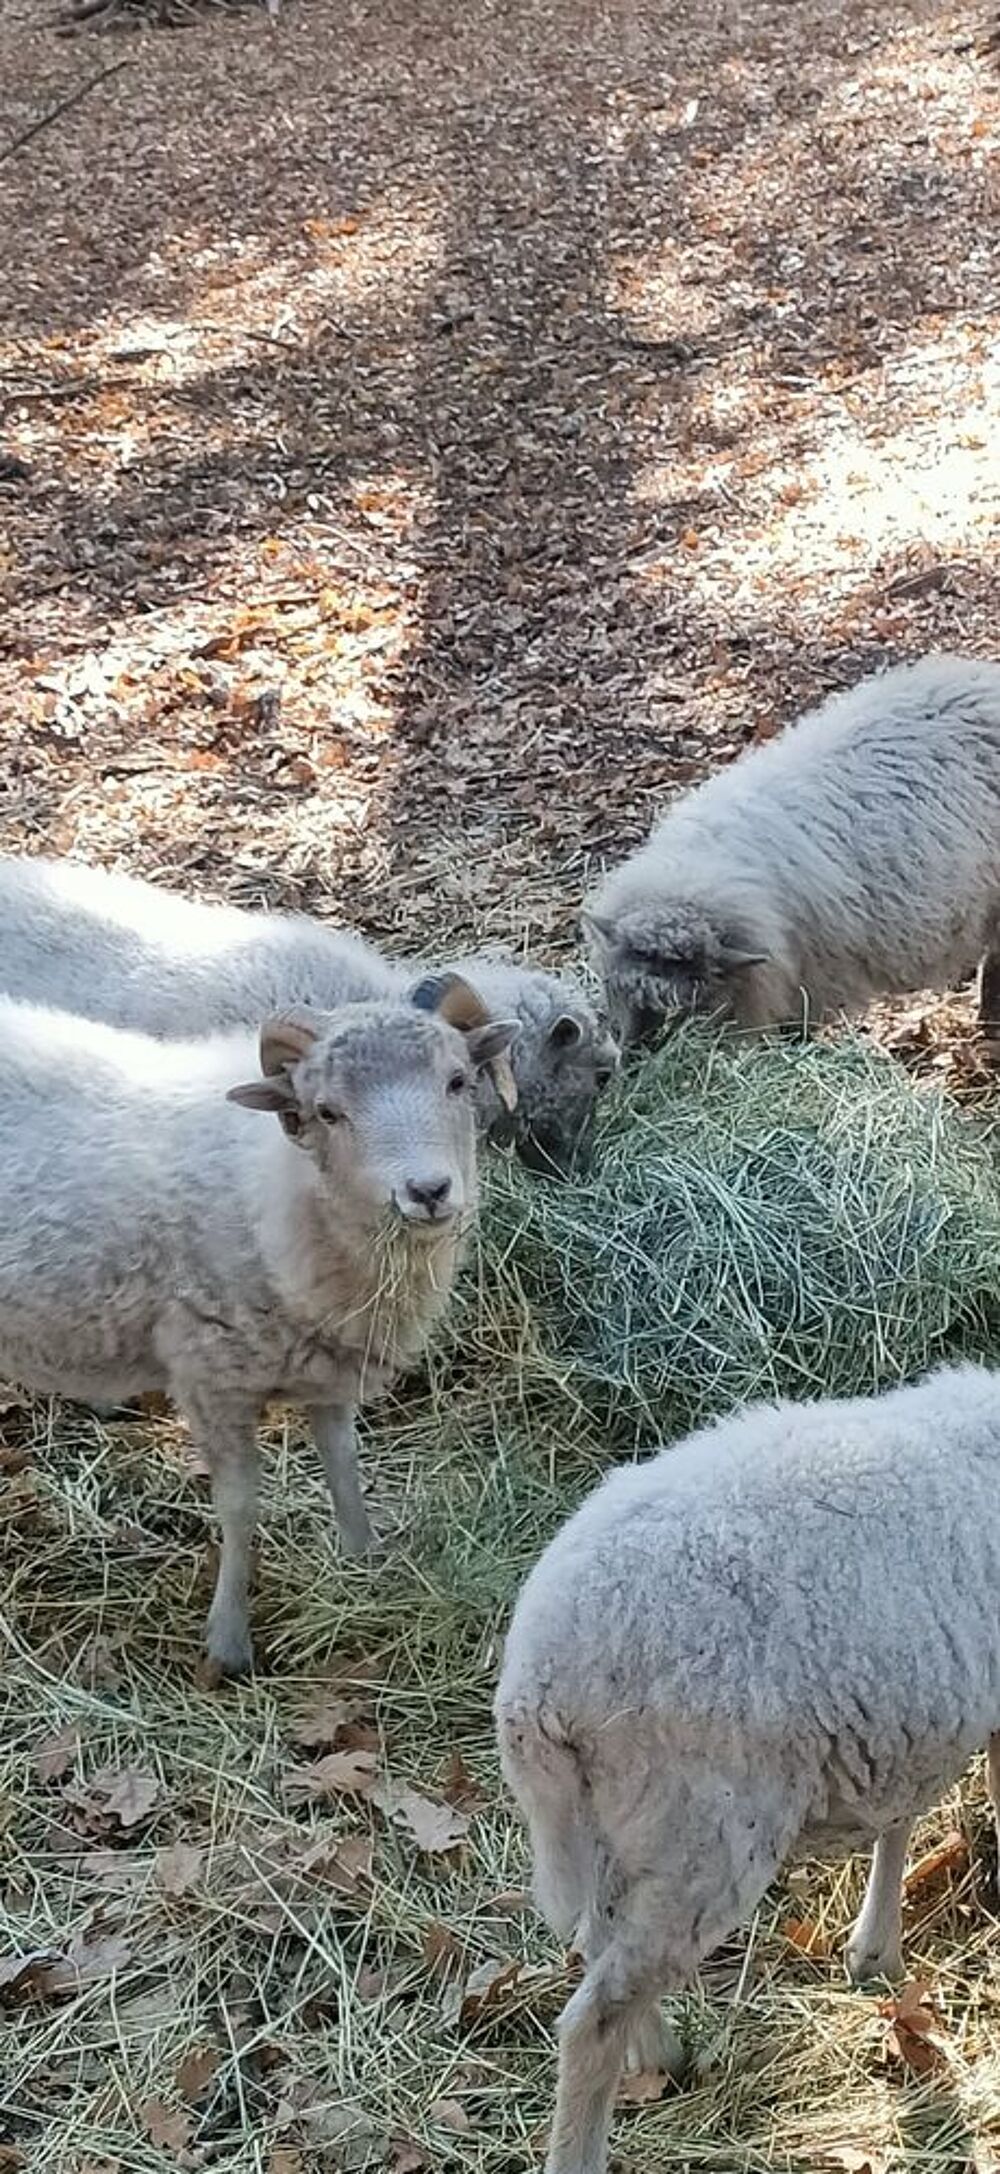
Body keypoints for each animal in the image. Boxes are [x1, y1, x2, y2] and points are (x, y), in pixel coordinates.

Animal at [0, 975, 516, 1675]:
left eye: (458, 1081)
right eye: (327, 1111)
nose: (428, 1191)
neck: (279, 1189)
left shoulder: (329, 1362)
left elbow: (343, 1463)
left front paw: (366, 1561)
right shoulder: (209, 1375)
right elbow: (240, 1505)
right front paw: (229, 1639)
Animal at [495, 1363, 1000, 2174]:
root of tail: (535, 1688)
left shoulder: (911, 1709)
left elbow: (900, 1816)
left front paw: (875, 1952)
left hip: (614, 1819)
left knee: (598, 1945)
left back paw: (661, 2055)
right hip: (706, 1832)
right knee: (592, 2018)